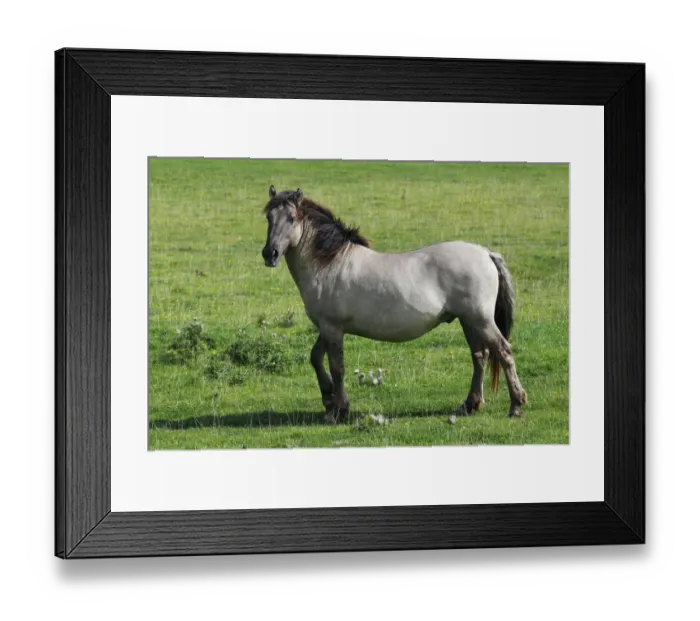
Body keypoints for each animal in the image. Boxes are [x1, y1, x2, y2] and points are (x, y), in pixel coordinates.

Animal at [261, 185, 527, 424]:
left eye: (291, 218)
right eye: (268, 217)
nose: (269, 254)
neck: (331, 263)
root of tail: (486, 253)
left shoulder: (332, 328)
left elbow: (337, 368)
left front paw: (339, 410)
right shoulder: (326, 328)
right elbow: (316, 357)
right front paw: (328, 400)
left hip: (480, 320)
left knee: (503, 352)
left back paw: (516, 405)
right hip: (468, 321)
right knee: (479, 356)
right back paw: (470, 404)